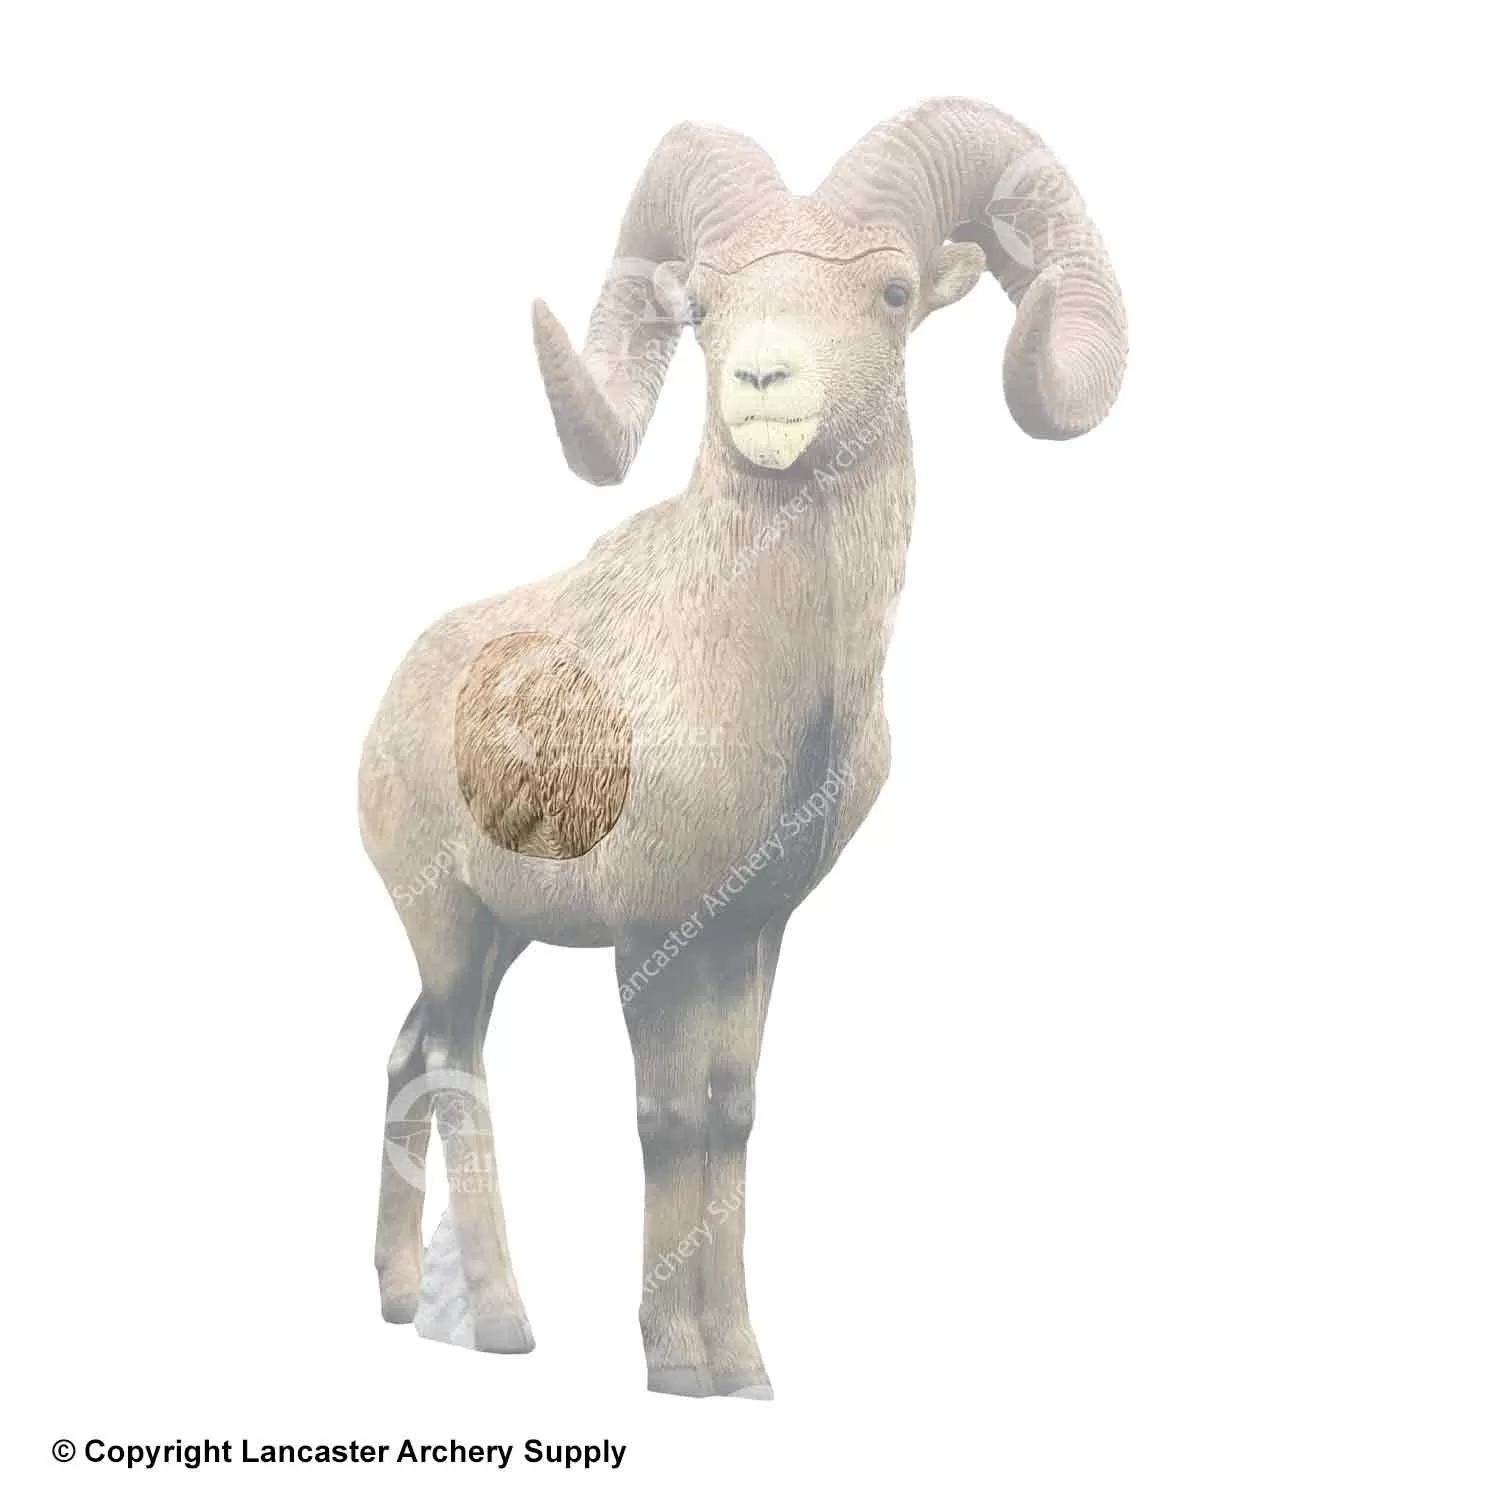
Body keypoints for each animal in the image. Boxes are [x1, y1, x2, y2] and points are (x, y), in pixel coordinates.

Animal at [359, 95, 1127, 1398]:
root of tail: (392, 698)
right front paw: (676, 1368)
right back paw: (505, 1326)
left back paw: (404, 1305)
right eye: (707, 305)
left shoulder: (750, 936)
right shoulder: (654, 938)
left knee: (413, 1054)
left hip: (497, 938)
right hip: (453, 928)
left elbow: (731, 1117)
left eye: (890, 291)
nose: (765, 380)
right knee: (458, 1069)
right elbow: (668, 1124)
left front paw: (748, 1371)